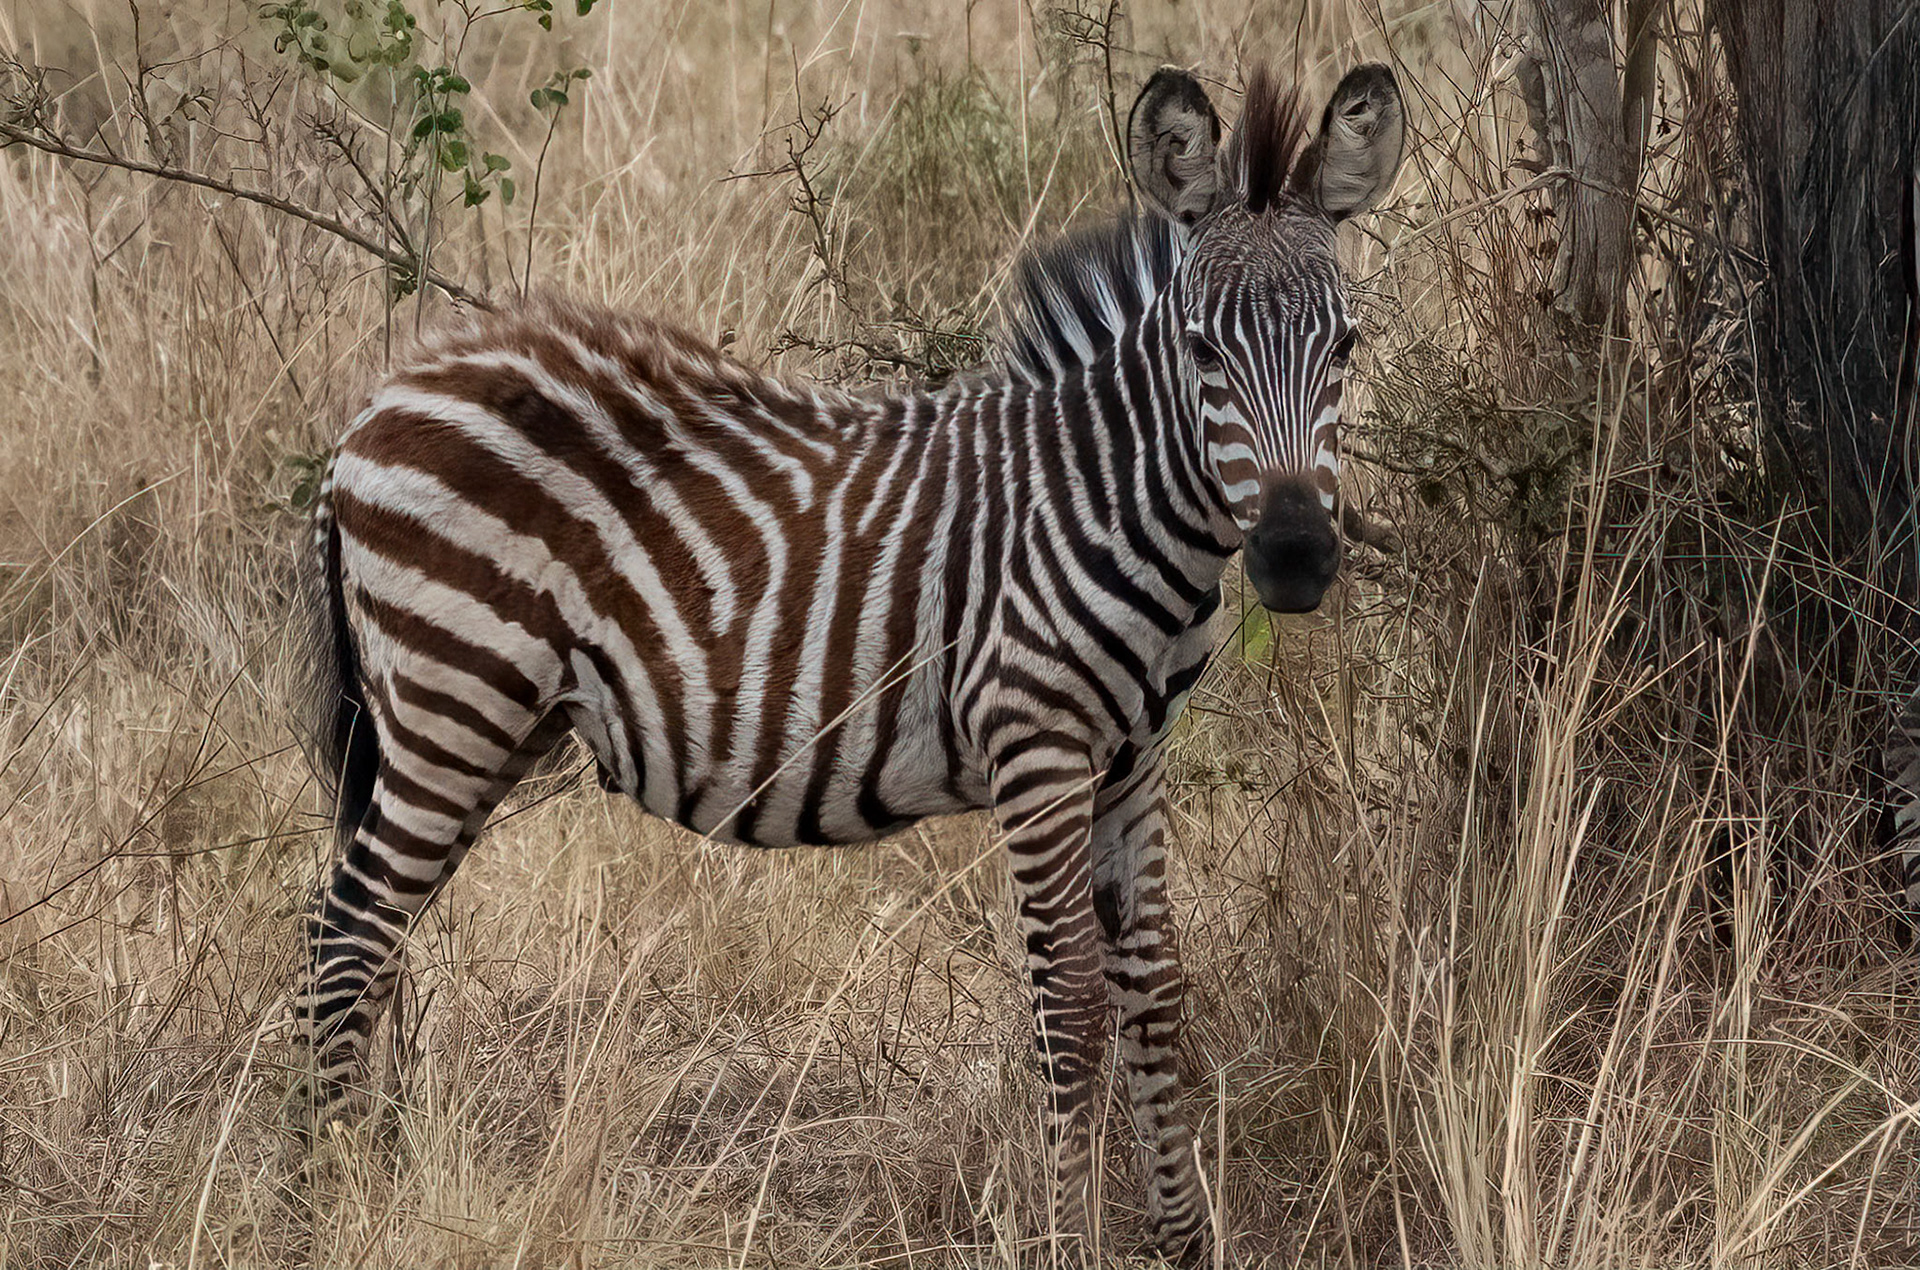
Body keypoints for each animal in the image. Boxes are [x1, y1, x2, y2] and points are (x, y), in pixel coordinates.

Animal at [291, 62, 1404, 1261]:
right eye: (1202, 350)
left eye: (1347, 347)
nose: (1296, 558)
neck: (1108, 498)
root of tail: (376, 405)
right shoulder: (1038, 745)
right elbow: (1070, 1003)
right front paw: (1065, 1237)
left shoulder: (1133, 757)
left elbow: (1155, 992)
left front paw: (1185, 1242)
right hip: (453, 702)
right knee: (343, 937)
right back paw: (314, 1201)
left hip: (480, 725)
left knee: (376, 942)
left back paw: (359, 1172)